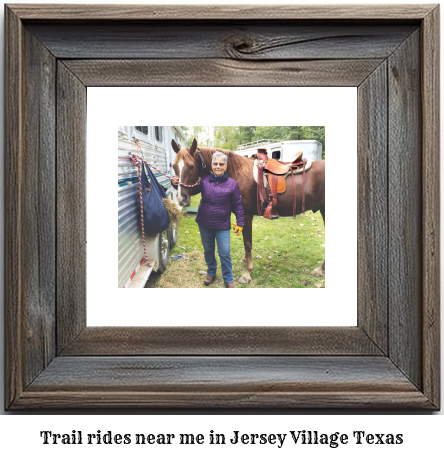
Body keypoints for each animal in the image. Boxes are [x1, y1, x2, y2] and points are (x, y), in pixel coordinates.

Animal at [172, 137, 324, 284]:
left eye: (191, 166)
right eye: (173, 166)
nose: (181, 198)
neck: (237, 173)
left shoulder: (246, 214)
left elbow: (247, 242)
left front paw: (247, 273)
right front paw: (245, 260)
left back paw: (319, 270)